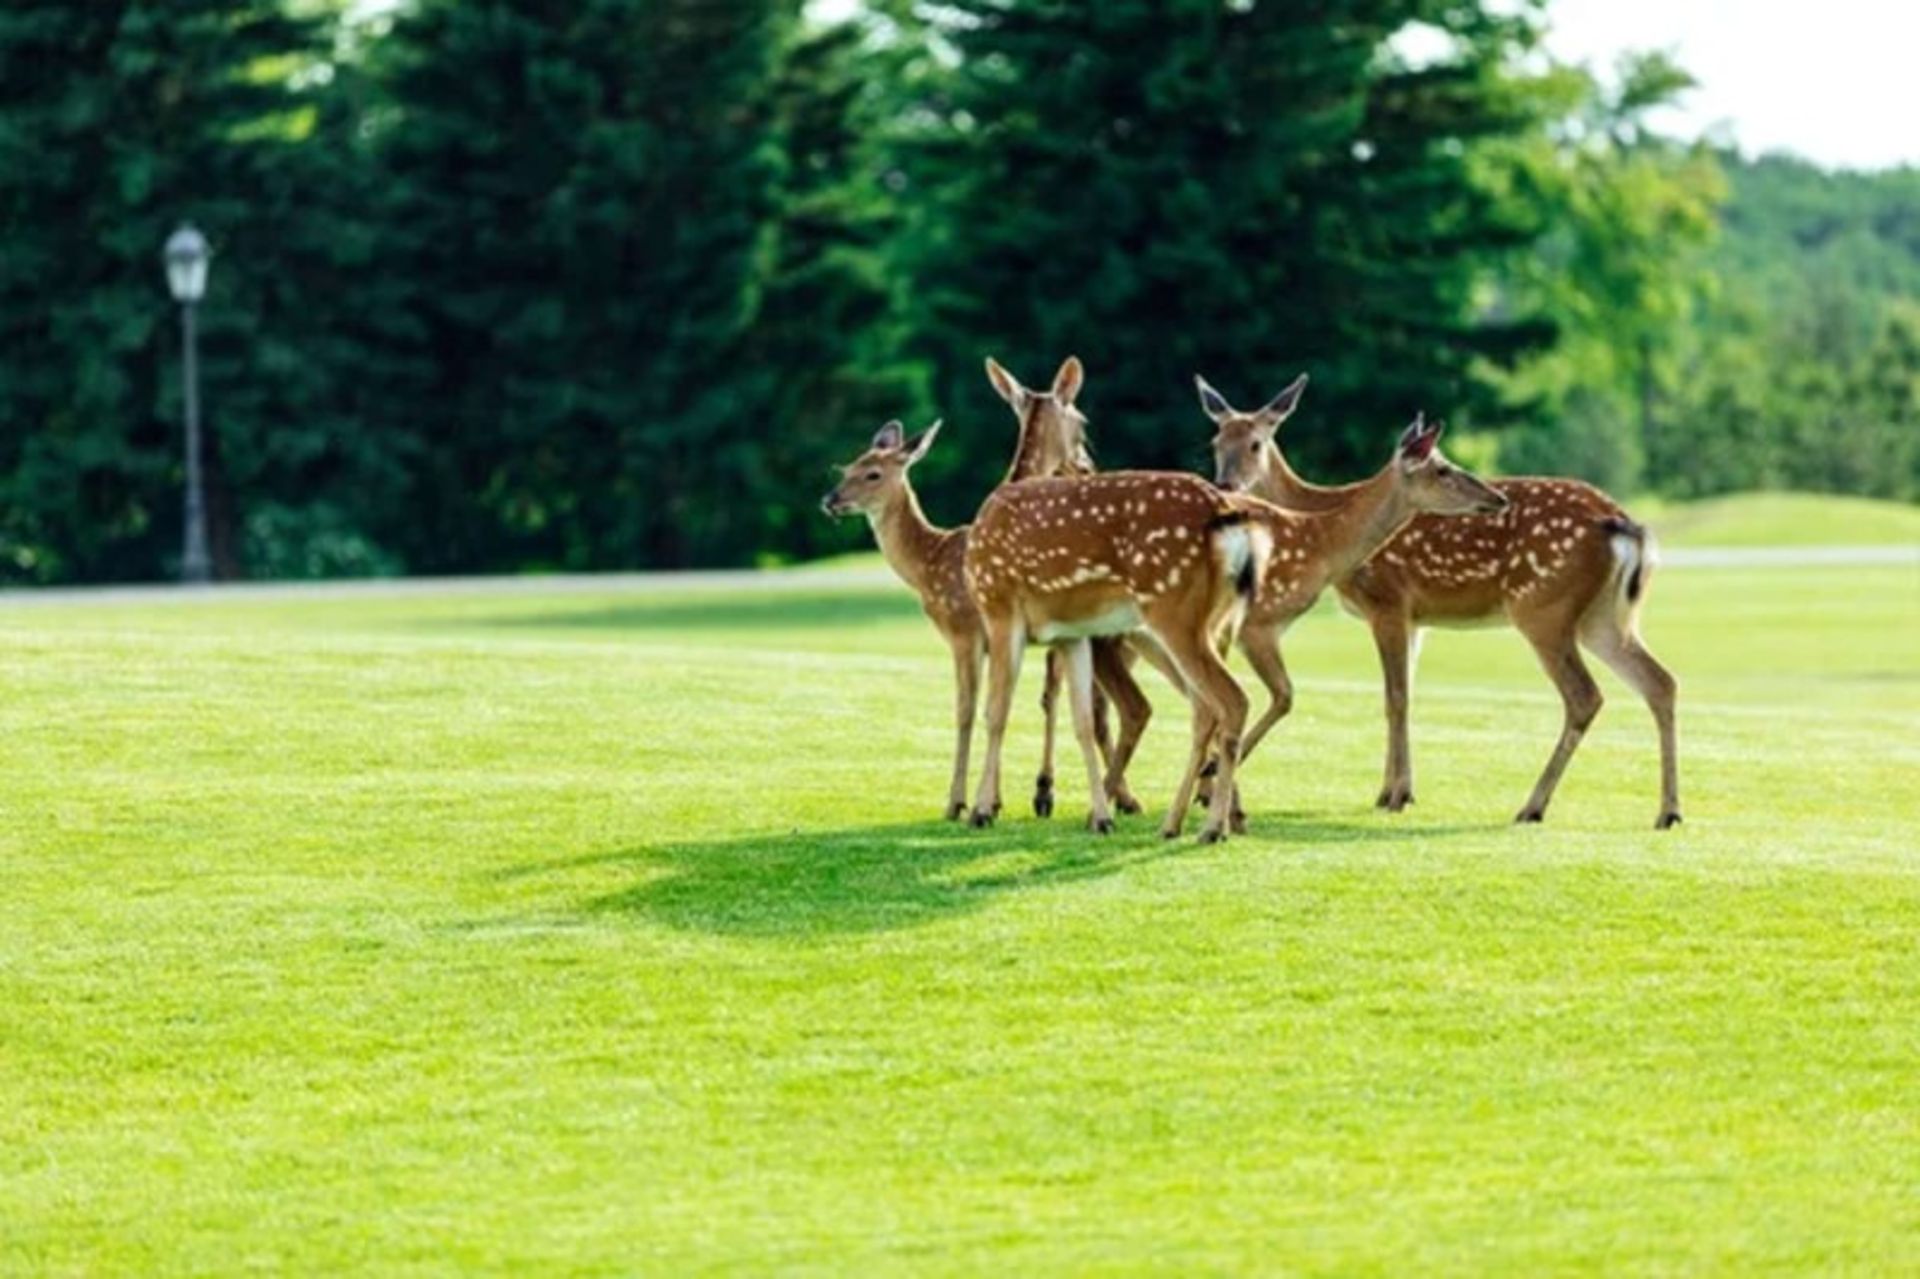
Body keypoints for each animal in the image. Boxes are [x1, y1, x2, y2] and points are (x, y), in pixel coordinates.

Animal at [1199, 374, 1682, 830]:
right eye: (1217, 442)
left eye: (1257, 443)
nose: (1226, 483)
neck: (1323, 511)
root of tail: (1625, 524)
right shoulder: (1416, 618)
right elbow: (1404, 696)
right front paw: (1394, 791)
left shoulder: (1388, 602)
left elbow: (1395, 697)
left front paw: (1395, 795)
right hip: (1602, 617)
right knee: (1660, 682)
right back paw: (1668, 812)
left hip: (1543, 607)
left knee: (1584, 696)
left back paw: (1533, 806)